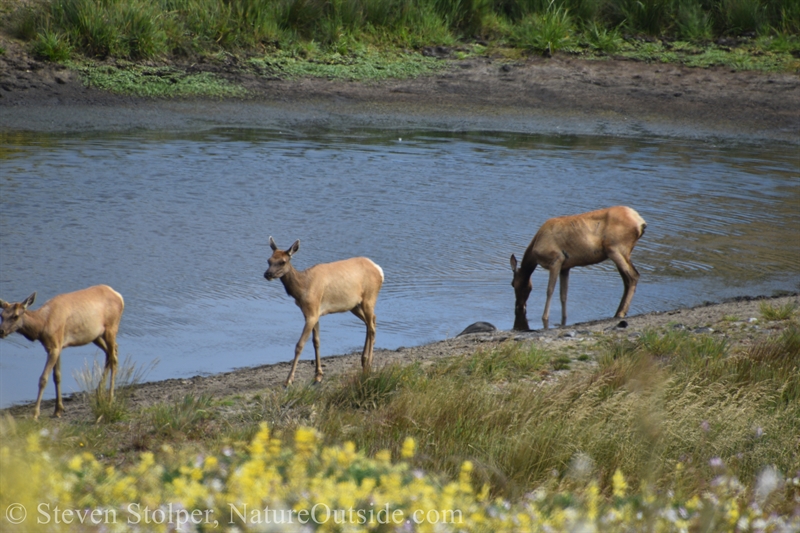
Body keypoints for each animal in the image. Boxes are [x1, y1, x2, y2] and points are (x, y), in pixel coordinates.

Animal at [0, 284, 125, 418]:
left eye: (15, 316)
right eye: (2, 315)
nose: (1, 331)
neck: (41, 327)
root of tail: (119, 296)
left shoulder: (54, 348)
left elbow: (43, 379)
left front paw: (35, 415)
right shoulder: (56, 346)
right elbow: (57, 376)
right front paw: (58, 409)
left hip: (111, 328)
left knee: (114, 358)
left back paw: (110, 400)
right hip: (96, 336)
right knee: (112, 351)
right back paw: (99, 393)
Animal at [264, 236, 386, 382]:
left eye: (282, 262)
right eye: (269, 260)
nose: (267, 274)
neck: (302, 288)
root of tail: (380, 271)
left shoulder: (312, 312)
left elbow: (300, 345)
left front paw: (288, 380)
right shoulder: (313, 313)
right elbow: (316, 341)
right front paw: (318, 375)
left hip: (369, 298)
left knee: (372, 327)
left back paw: (369, 363)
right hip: (355, 305)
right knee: (372, 320)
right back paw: (364, 361)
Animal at [510, 207, 648, 328]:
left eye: (512, 284)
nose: (519, 306)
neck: (535, 251)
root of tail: (641, 223)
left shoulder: (556, 260)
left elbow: (550, 290)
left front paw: (544, 317)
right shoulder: (565, 267)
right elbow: (563, 295)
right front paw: (564, 318)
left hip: (615, 249)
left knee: (633, 276)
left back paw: (620, 313)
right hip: (622, 252)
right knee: (627, 280)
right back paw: (618, 312)